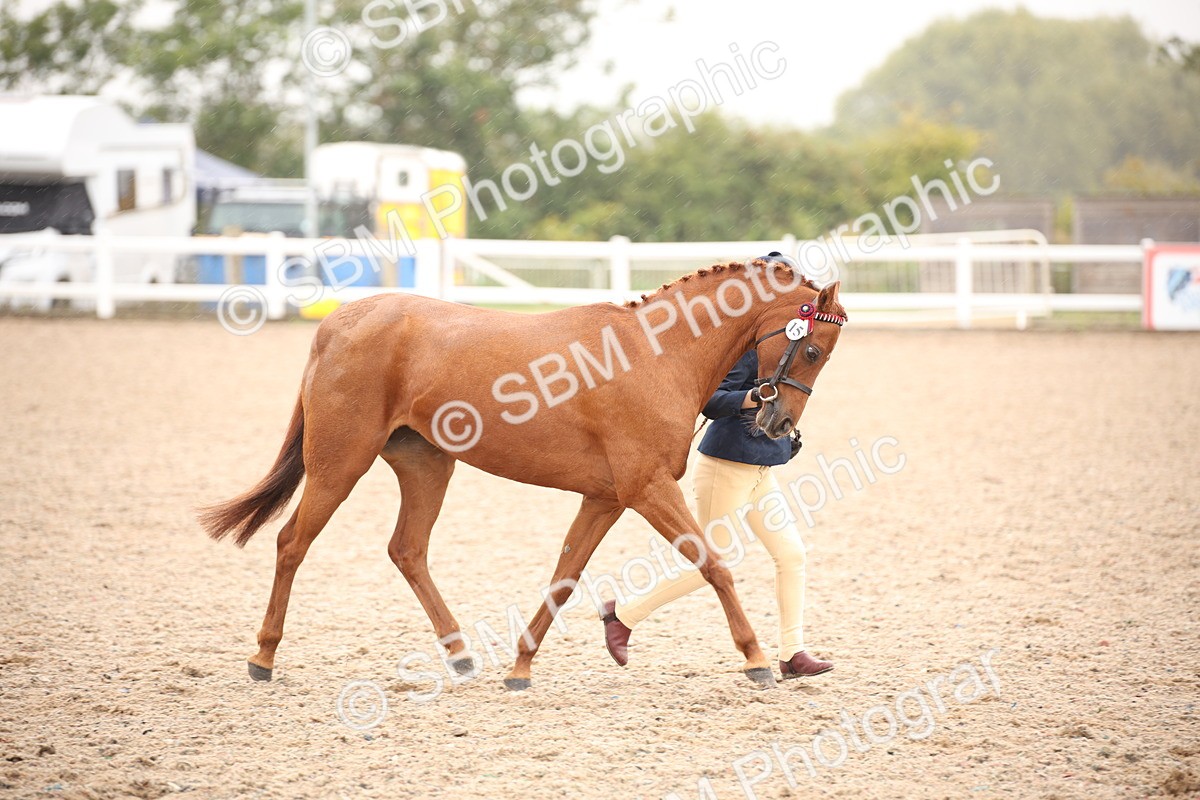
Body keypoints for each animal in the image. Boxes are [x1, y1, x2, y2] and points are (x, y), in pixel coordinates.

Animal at [199, 256, 847, 690]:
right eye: (814, 349)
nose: (778, 424)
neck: (655, 355)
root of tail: (338, 323)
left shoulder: (606, 498)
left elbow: (564, 577)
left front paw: (520, 666)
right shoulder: (647, 489)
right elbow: (715, 566)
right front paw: (757, 659)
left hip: (426, 464)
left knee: (407, 549)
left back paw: (460, 654)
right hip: (340, 463)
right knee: (292, 542)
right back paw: (263, 658)